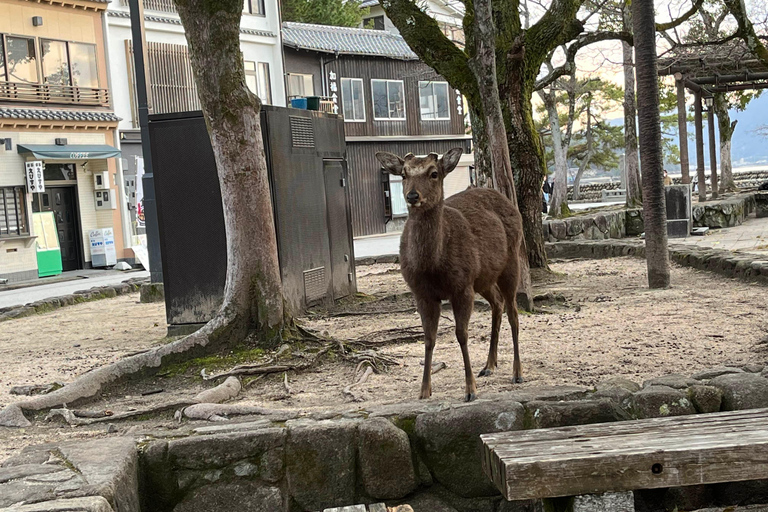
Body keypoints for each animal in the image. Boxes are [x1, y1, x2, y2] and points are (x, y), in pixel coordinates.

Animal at [376, 146, 524, 402]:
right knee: (497, 303)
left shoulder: (461, 286)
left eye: (434, 173)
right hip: (483, 278)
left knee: (513, 313)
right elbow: (429, 338)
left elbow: (461, 334)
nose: (412, 196)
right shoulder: (422, 293)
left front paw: (470, 389)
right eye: (403, 174)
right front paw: (424, 391)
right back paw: (489, 365)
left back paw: (517, 373)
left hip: (511, 260)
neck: (432, 266)